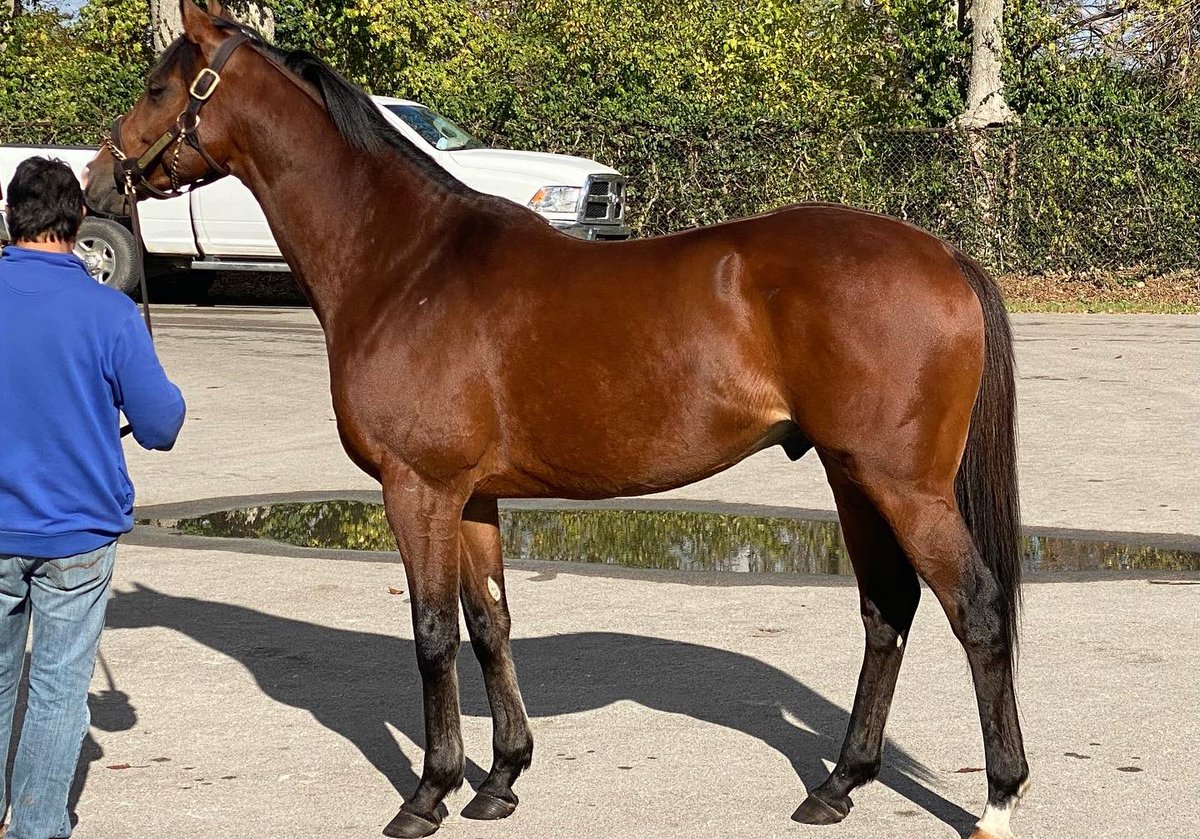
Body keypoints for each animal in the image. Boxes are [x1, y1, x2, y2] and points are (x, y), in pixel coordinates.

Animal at [83, 3, 1029, 837]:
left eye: (161, 86)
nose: (98, 179)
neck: (405, 263)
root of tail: (946, 257)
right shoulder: (470, 497)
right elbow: (490, 625)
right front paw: (500, 779)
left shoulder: (417, 488)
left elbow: (431, 633)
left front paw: (427, 794)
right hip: (851, 475)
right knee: (886, 609)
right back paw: (836, 786)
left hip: (901, 485)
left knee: (976, 609)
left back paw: (997, 799)